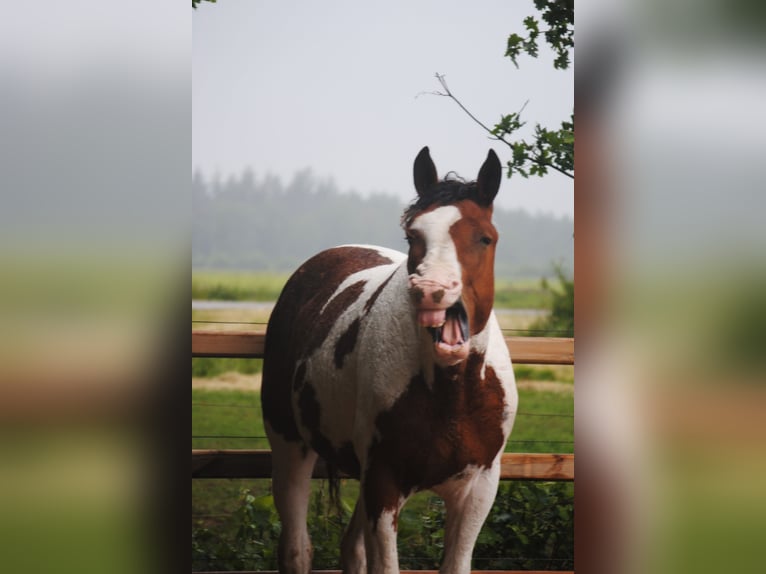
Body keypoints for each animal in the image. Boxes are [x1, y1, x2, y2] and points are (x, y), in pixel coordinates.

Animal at [261, 146, 518, 574]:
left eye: (485, 238)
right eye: (413, 235)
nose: (432, 290)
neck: (450, 394)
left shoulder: (477, 490)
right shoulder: (384, 483)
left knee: (351, 548)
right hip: (289, 445)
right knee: (297, 548)